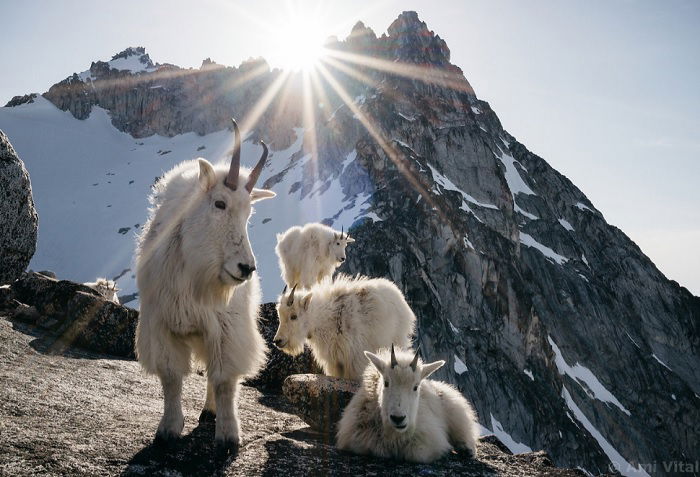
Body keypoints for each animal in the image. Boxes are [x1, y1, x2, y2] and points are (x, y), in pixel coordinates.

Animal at [135, 119, 278, 450]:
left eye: (249, 212)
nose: (246, 268)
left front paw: (228, 436)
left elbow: (224, 379)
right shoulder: (161, 324)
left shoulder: (227, 328)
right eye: (220, 203)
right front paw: (168, 429)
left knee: (215, 373)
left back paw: (210, 411)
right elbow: (171, 377)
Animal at [274, 276, 416, 380]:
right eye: (280, 315)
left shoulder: (354, 360)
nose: (277, 341)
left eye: (294, 316)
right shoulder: (335, 362)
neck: (325, 318)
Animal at [334, 344, 478, 462]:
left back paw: (466, 449)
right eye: (386, 382)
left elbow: (416, 454)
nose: (398, 418)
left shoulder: (428, 439)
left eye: (415, 387)